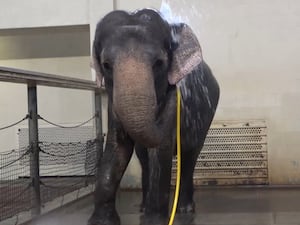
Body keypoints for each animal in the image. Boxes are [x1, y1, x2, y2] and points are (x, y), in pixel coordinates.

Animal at [88, 7, 219, 225]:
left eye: (159, 63)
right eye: (106, 65)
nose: (172, 91)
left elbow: (160, 149)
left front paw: (154, 220)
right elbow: (118, 147)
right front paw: (101, 221)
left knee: (189, 156)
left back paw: (185, 209)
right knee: (144, 159)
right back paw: (143, 207)